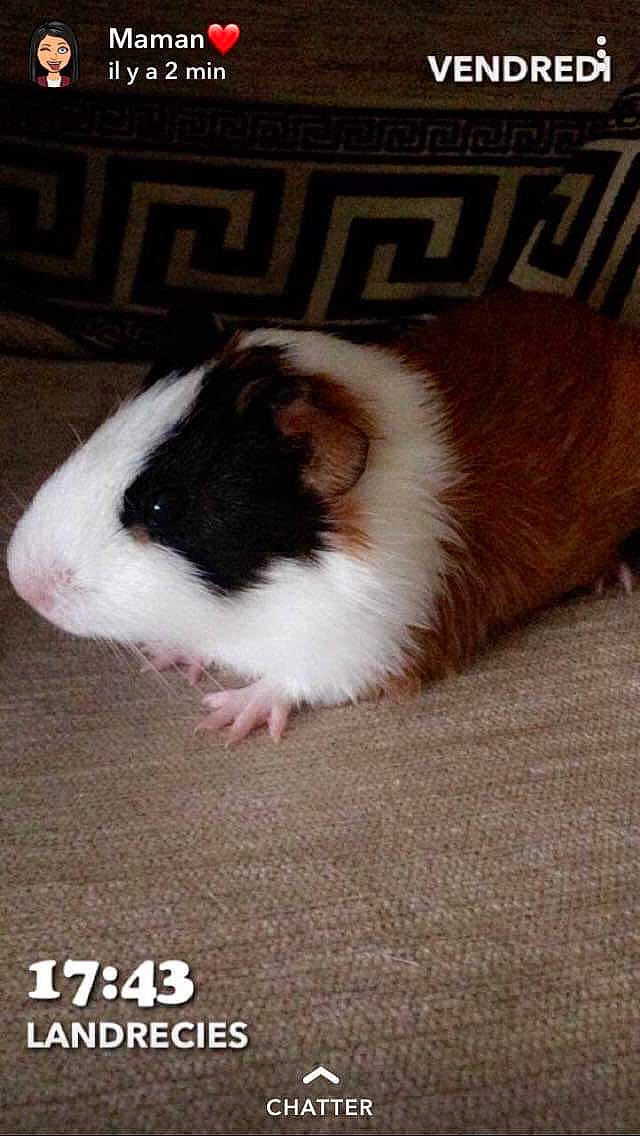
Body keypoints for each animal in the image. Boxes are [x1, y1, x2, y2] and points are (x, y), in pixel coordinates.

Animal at [8, 288, 640, 743]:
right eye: (103, 430)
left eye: (164, 506)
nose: (24, 583)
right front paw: (171, 657)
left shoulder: (367, 648)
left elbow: (293, 682)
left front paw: (226, 718)